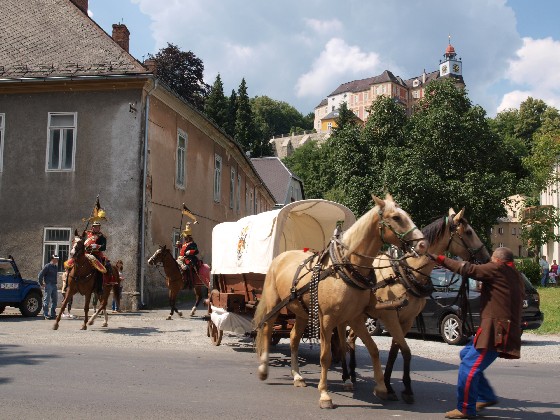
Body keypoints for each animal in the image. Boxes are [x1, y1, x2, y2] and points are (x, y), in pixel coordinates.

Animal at [252, 194, 426, 410]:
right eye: (396, 217)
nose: (422, 244)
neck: (345, 267)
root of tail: (280, 257)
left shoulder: (355, 318)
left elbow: (373, 349)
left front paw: (380, 387)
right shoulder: (327, 318)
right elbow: (325, 356)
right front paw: (325, 394)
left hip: (302, 313)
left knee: (293, 338)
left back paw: (297, 376)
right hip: (274, 305)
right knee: (267, 330)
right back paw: (264, 369)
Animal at [346, 208, 490, 402]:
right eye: (468, 232)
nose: (486, 257)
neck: (404, 272)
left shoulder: (406, 319)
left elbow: (396, 351)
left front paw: (390, 385)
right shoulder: (390, 316)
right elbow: (405, 350)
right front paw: (402, 388)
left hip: (360, 315)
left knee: (350, 339)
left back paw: (352, 374)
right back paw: (348, 375)